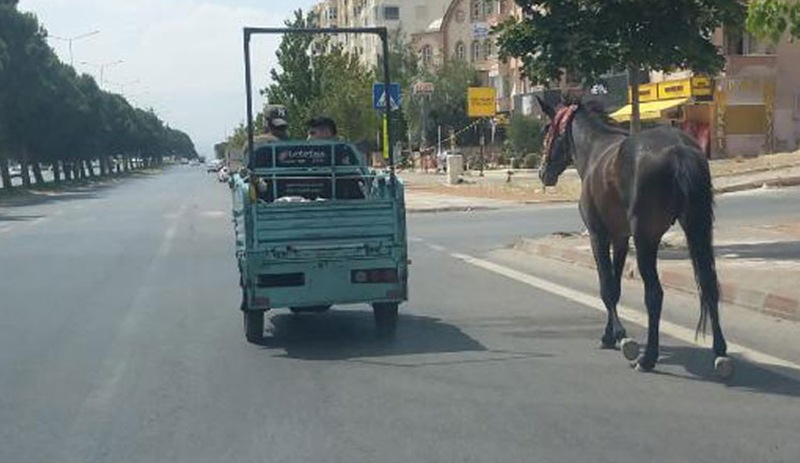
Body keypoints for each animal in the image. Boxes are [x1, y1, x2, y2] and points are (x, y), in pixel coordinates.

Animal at [536, 97, 732, 376]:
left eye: (547, 129)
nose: (543, 172)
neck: (594, 150)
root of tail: (679, 150)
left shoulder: (598, 235)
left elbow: (607, 288)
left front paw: (620, 336)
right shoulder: (620, 238)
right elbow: (616, 287)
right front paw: (610, 335)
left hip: (646, 239)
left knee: (654, 294)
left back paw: (648, 357)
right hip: (697, 228)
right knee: (708, 284)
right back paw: (720, 352)